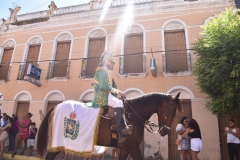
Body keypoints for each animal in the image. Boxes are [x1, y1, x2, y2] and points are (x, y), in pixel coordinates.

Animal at [36, 92, 181, 159]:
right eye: (172, 111)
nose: (165, 131)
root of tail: (56, 107)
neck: (132, 115)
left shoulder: (125, 149)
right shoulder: (133, 147)